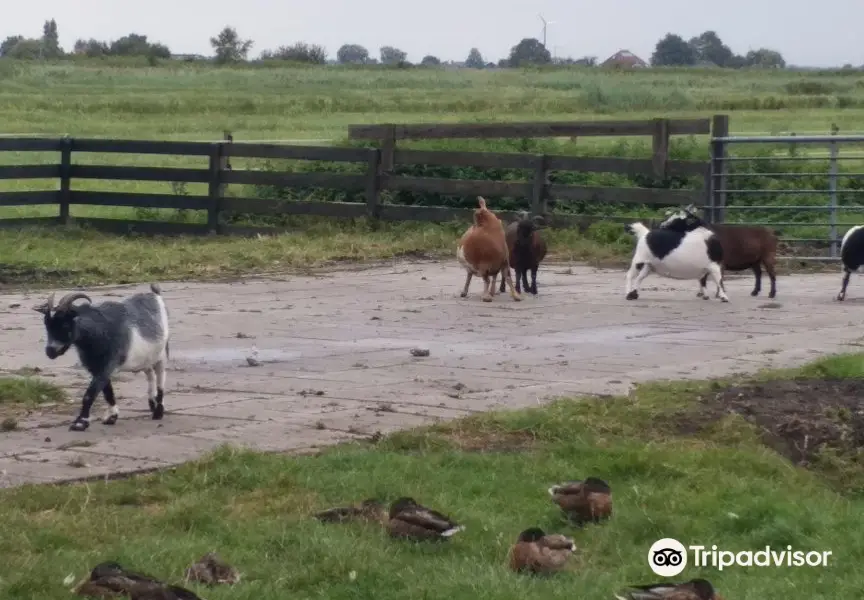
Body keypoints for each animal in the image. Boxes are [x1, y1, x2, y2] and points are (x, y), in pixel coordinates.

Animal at [34, 284, 171, 432]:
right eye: (46, 324)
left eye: (65, 324)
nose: (50, 351)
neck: (99, 331)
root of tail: (155, 295)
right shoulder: (95, 367)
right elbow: (107, 391)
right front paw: (111, 417)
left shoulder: (107, 365)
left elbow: (90, 394)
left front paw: (80, 423)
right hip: (145, 359)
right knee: (150, 375)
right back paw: (152, 404)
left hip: (162, 355)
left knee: (161, 378)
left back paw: (158, 411)